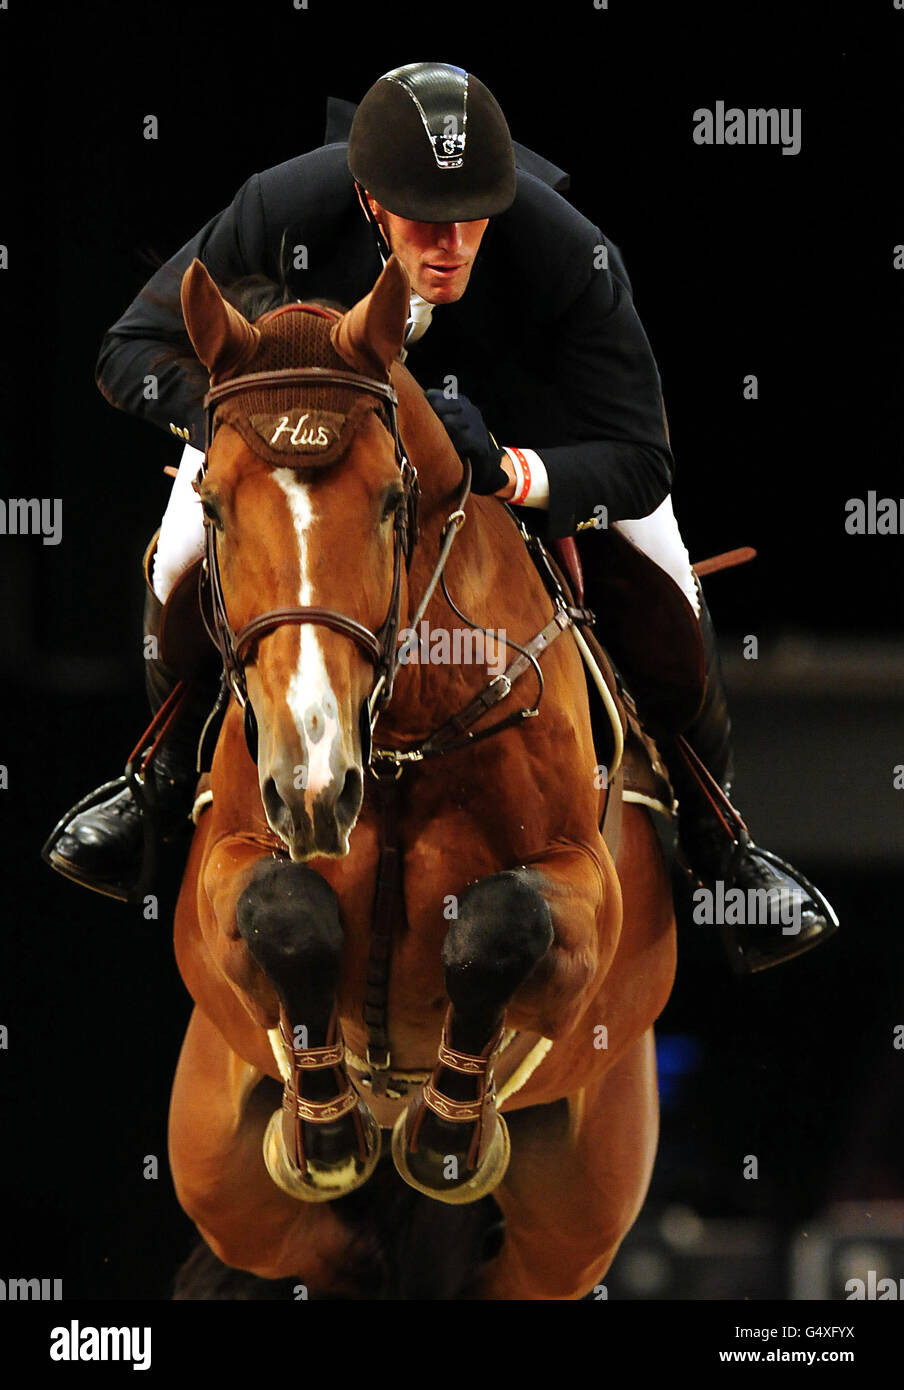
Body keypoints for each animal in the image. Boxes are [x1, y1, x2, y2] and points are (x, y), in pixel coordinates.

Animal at [163, 252, 675, 1301]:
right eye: (213, 505)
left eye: (390, 503)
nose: (315, 784)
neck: (397, 738)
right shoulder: (233, 860)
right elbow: (282, 910)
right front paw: (328, 1127)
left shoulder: (589, 894)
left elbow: (502, 918)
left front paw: (443, 1130)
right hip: (227, 1185)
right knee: (327, 1252)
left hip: (576, 1215)